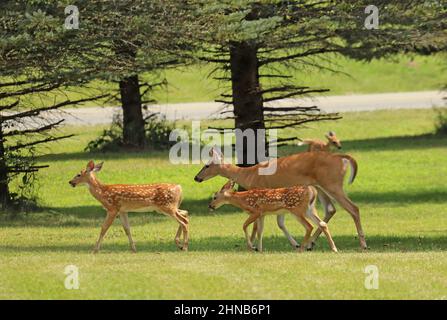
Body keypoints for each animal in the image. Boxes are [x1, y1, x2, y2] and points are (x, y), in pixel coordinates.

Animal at [208, 180, 338, 252]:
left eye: (215, 197)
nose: (210, 206)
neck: (243, 200)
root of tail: (312, 191)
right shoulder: (262, 214)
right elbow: (260, 231)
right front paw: (260, 250)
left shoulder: (256, 211)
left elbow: (244, 226)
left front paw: (253, 247)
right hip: (310, 209)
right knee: (322, 223)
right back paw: (334, 249)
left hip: (297, 209)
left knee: (309, 226)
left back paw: (301, 248)